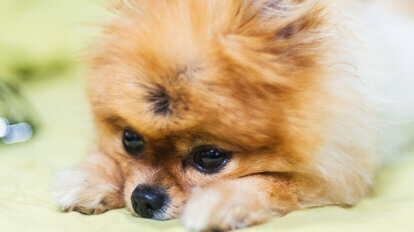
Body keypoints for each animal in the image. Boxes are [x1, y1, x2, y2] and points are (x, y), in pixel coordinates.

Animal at [54, 0, 414, 231]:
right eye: (130, 140)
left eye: (210, 157)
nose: (144, 199)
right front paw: (88, 178)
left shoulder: (338, 175)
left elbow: (273, 182)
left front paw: (220, 202)